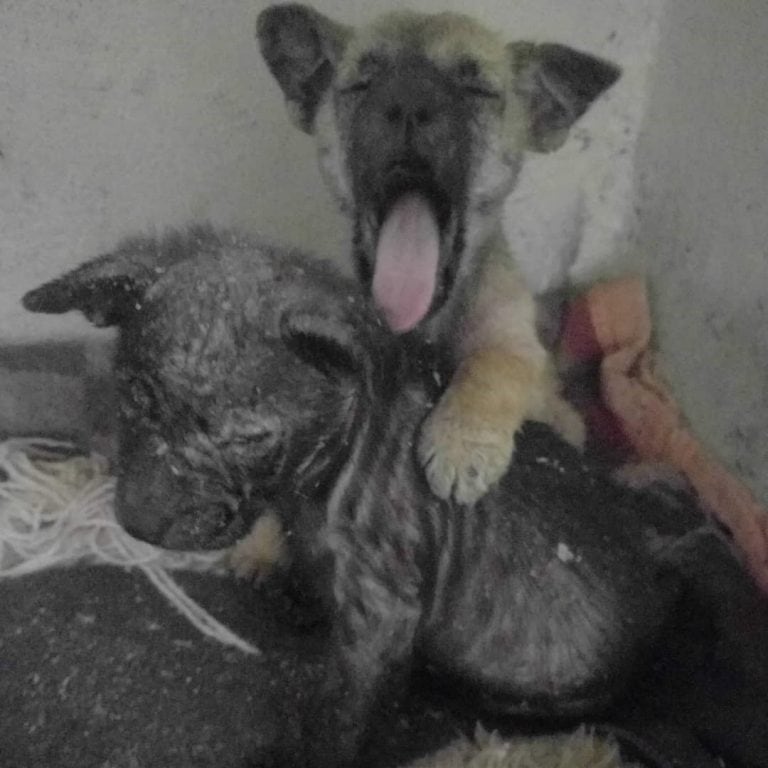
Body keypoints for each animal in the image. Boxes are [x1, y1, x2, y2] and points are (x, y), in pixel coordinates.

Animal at [25, 231, 688, 768]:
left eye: (246, 438)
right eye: (134, 395)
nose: (138, 524)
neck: (325, 468)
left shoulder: (382, 614)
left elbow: (344, 716)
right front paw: (289, 584)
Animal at [256, 6, 616, 508]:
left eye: (477, 89)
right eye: (362, 82)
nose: (408, 103)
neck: (426, 326)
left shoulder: (514, 341)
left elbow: (496, 365)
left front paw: (463, 443)